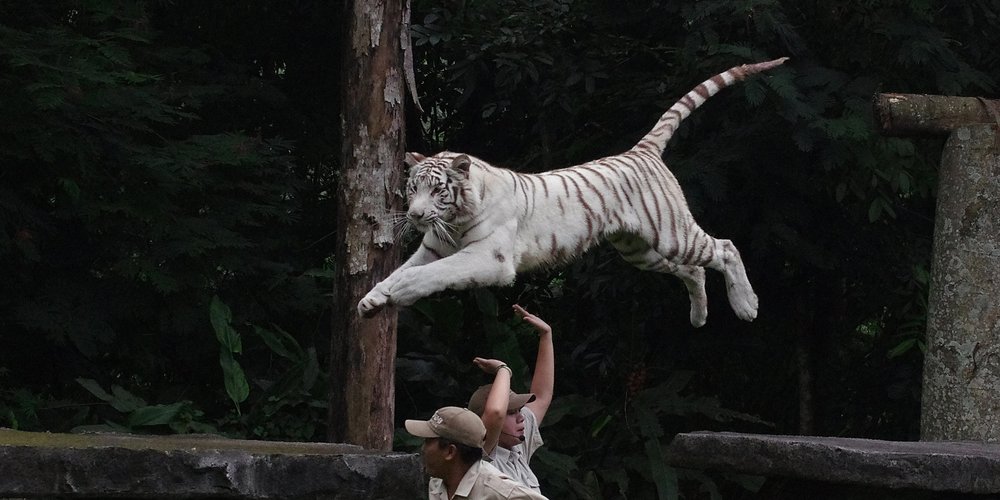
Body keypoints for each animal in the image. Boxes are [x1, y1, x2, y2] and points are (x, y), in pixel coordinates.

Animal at [358, 57, 788, 326]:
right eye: (413, 189)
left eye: (437, 191)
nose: (415, 215)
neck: (455, 219)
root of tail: (640, 150)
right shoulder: (432, 247)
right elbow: (402, 269)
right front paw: (373, 299)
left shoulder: (488, 258)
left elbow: (430, 275)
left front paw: (401, 291)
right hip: (641, 249)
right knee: (694, 269)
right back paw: (699, 316)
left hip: (671, 232)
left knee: (725, 248)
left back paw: (747, 306)